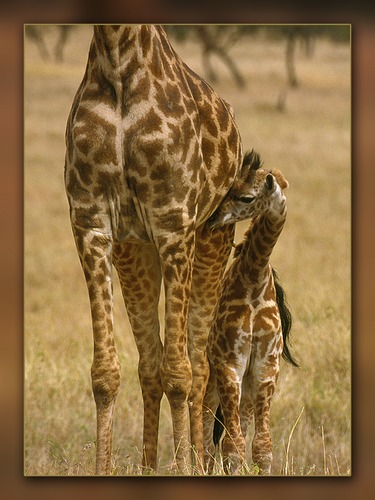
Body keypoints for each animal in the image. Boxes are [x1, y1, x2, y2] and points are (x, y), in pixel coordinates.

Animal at [64, 24, 244, 476]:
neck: (118, 62)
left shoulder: (173, 221)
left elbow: (179, 373)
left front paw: (183, 470)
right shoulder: (91, 221)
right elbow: (105, 372)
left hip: (212, 239)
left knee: (197, 364)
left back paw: (199, 462)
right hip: (135, 251)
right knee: (150, 364)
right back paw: (149, 467)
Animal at [201, 150, 298, 474]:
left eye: (246, 197)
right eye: (228, 188)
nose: (210, 220)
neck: (254, 281)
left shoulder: (266, 366)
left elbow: (261, 447)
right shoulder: (229, 362)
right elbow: (231, 448)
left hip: (246, 382)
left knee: (236, 428)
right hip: (214, 375)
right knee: (205, 430)